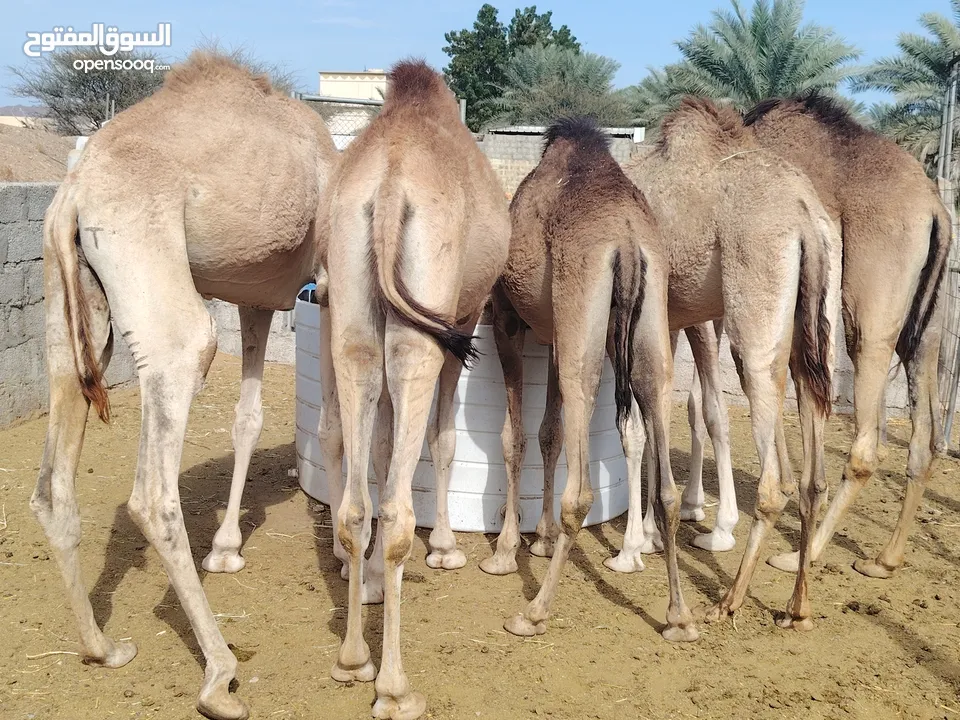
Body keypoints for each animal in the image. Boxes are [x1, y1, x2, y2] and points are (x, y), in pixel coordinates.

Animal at [31, 52, 338, 720]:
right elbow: (338, 423)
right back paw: (220, 676)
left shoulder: (258, 295)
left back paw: (102, 647)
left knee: (52, 483)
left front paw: (226, 548)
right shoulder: (331, 277)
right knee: (153, 490)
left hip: (72, 305)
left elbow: (249, 417)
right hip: (158, 287)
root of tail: (73, 189)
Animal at [324, 62, 510, 720]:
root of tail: (385, 189)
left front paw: (374, 588)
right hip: (423, 329)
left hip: (354, 312)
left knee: (356, 505)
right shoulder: (464, 316)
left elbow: (379, 457)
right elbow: (445, 440)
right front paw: (448, 548)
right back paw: (396, 687)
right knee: (402, 506)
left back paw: (354, 660)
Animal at [480, 116, 688, 640]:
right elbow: (548, 433)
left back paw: (533, 612)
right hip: (649, 317)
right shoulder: (557, 335)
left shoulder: (508, 320)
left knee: (581, 492)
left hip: (582, 317)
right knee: (666, 479)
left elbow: (514, 437)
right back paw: (680, 617)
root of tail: (629, 244)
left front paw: (507, 551)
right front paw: (540, 538)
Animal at [620, 97, 844, 632]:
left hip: (753, 309)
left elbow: (639, 427)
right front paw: (653, 534)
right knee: (813, 475)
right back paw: (797, 608)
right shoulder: (671, 315)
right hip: (817, 326)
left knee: (771, 482)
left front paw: (633, 547)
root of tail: (807, 219)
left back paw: (730, 600)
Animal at [672, 95, 948, 580]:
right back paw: (884, 559)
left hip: (867, 316)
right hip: (924, 327)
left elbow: (706, 403)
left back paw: (804, 554)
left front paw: (709, 518)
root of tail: (934, 208)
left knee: (866, 444)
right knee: (926, 433)